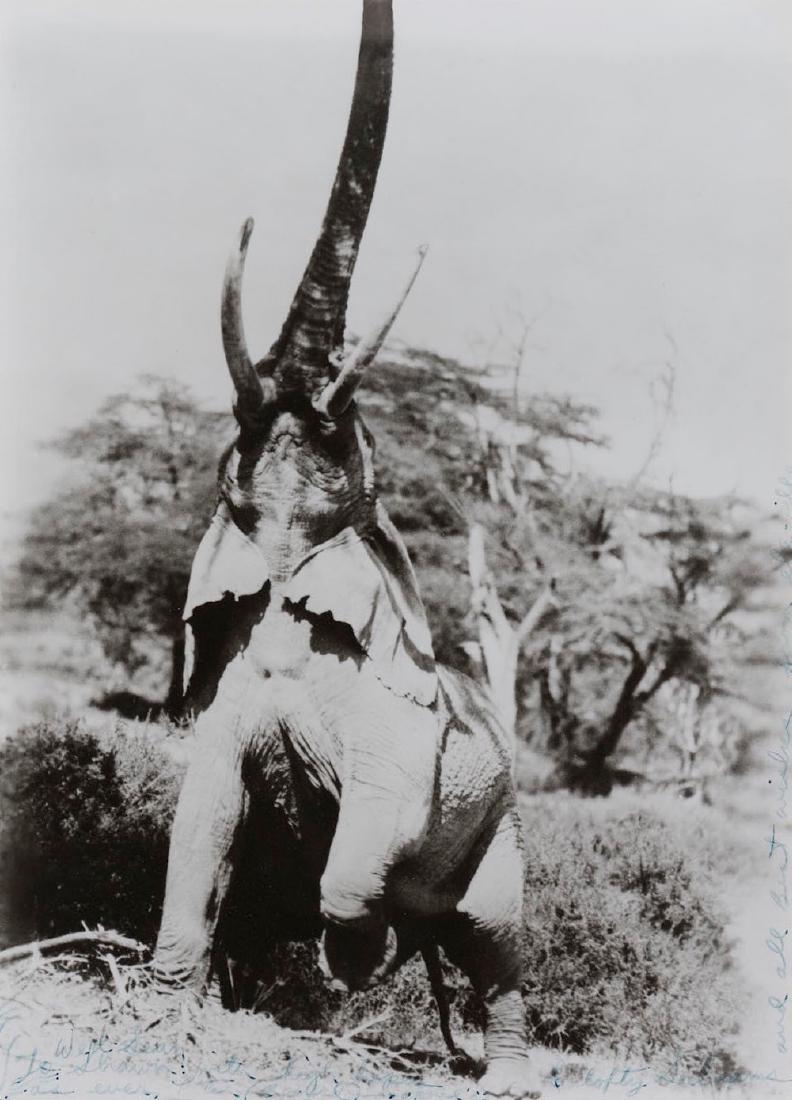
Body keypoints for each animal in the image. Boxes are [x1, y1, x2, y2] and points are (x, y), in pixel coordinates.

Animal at [154, 2, 542, 1097]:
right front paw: (172, 1009)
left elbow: (371, 824)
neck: (295, 565)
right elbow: (202, 813)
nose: (302, 377)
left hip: (502, 830)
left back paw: (499, 1061)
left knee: (493, 940)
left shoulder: (409, 731)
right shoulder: (227, 689)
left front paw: (348, 957)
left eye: (341, 421)